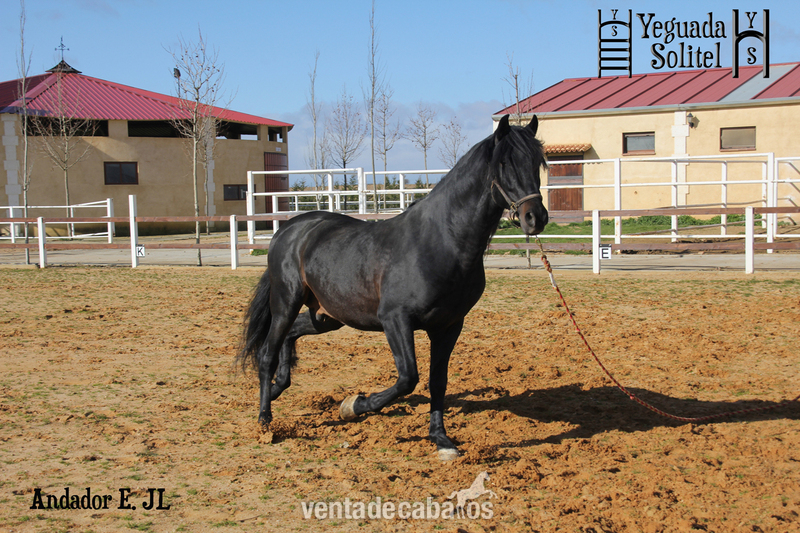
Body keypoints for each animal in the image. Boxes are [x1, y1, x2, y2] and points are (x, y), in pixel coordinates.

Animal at [237, 114, 548, 460]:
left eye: (537, 162)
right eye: (505, 162)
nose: (536, 218)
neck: (441, 241)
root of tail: (288, 230)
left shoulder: (449, 326)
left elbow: (437, 381)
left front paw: (441, 439)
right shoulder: (395, 320)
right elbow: (408, 378)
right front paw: (354, 405)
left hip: (328, 316)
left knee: (292, 335)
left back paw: (279, 387)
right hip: (285, 302)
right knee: (267, 352)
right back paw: (265, 420)